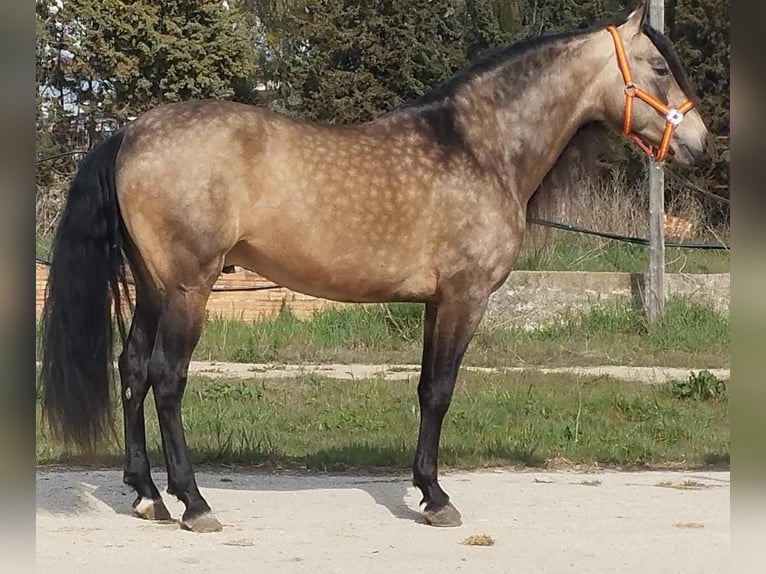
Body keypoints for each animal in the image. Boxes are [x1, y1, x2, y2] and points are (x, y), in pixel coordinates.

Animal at [40, 2, 708, 536]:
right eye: (658, 68)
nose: (699, 143)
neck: (477, 148)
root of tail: (129, 132)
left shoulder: (437, 302)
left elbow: (425, 389)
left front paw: (426, 488)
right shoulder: (465, 298)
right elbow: (440, 391)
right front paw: (436, 499)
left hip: (153, 287)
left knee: (131, 371)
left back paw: (147, 495)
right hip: (188, 288)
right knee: (166, 379)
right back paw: (194, 502)